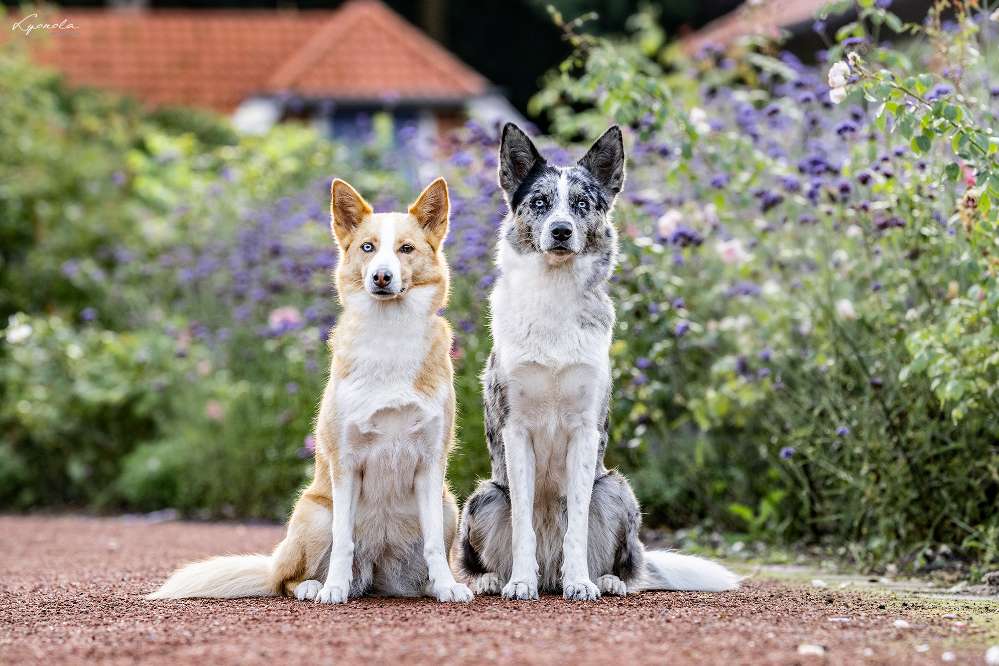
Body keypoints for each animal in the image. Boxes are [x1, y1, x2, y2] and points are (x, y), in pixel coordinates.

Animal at [150, 176, 474, 600]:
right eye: (367, 247)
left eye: (406, 248)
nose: (381, 277)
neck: (389, 335)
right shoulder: (345, 462)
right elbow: (344, 541)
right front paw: (334, 589)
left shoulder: (432, 463)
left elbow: (434, 542)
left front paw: (448, 587)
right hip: (315, 512)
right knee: (286, 578)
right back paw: (313, 586)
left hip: (450, 506)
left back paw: (430, 587)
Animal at [458, 122, 740, 600]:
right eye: (540, 203)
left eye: (581, 204)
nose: (560, 231)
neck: (554, 297)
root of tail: (549, 575)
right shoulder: (515, 430)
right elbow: (522, 527)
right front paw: (520, 583)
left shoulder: (585, 430)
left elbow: (577, 524)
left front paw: (580, 584)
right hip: (485, 496)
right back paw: (499, 579)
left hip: (614, 489)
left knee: (627, 563)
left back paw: (603, 580)